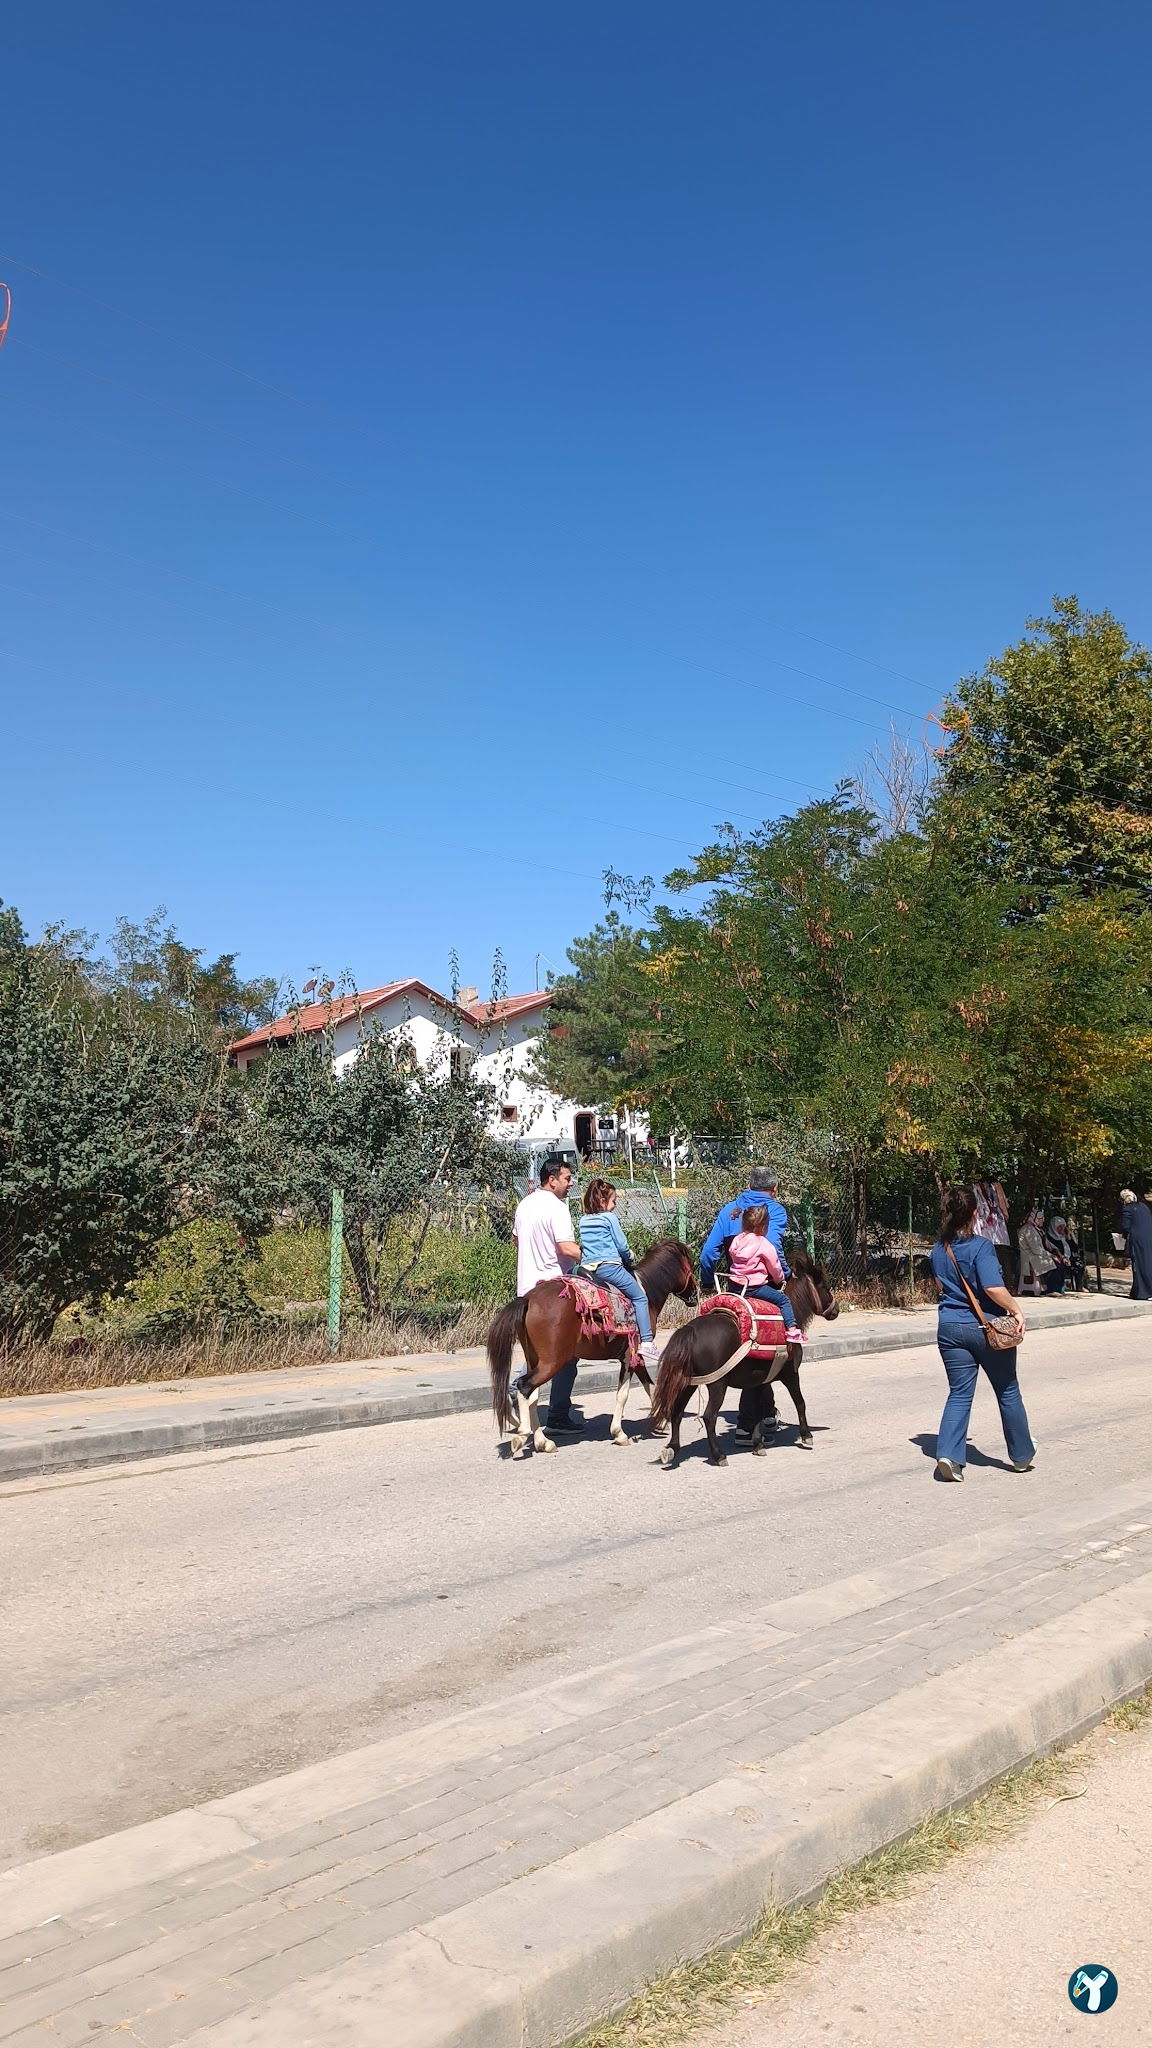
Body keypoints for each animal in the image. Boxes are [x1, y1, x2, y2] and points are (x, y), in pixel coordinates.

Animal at [485, 1236, 696, 1466]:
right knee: (524, 1387)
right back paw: (523, 1434)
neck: (645, 1291)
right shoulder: (630, 1356)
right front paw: (620, 1433)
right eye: (690, 1266)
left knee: (531, 1395)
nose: (697, 1293)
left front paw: (661, 1420)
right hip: (553, 1362)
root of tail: (529, 1298)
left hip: (534, 1359)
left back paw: (543, 1442)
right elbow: (623, 1394)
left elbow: (650, 1385)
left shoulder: (635, 1356)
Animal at [647, 1236, 832, 1466]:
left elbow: (758, 1411)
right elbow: (800, 1402)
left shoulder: (760, 1381)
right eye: (825, 1286)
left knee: (677, 1411)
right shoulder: (790, 1373)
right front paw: (806, 1435)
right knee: (708, 1416)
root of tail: (689, 1330)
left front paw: (758, 1444)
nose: (835, 1310)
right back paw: (718, 1455)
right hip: (717, 1384)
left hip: (689, 1381)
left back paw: (671, 1449)